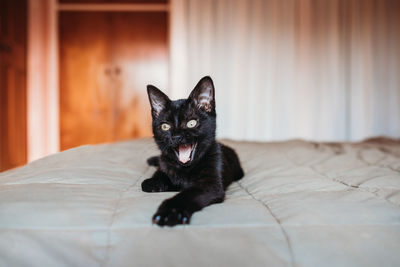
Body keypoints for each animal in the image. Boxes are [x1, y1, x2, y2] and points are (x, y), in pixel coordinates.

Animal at [142, 76, 245, 227]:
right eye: (165, 126)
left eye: (191, 123)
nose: (176, 136)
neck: (184, 170)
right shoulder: (165, 164)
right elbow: (155, 177)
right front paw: (154, 182)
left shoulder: (210, 185)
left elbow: (186, 194)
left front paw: (171, 212)